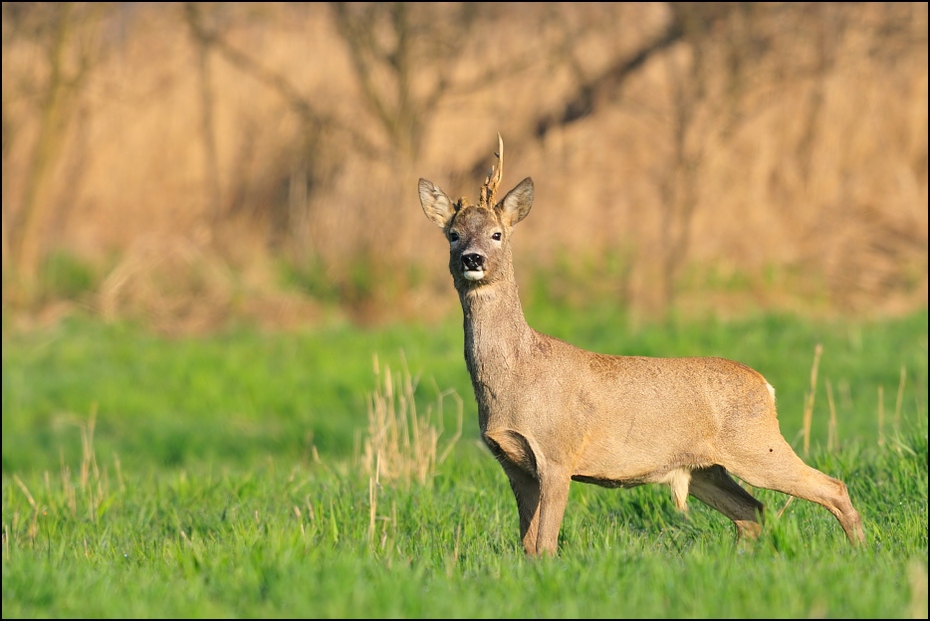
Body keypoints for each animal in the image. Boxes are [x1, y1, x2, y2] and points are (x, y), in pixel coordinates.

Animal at [416, 133, 868, 556]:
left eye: (496, 234)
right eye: (453, 234)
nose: (472, 258)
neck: (516, 376)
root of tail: (765, 385)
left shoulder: (558, 453)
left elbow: (545, 544)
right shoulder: (513, 464)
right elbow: (527, 546)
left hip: (756, 444)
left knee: (831, 487)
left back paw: (861, 551)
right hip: (706, 469)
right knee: (752, 511)